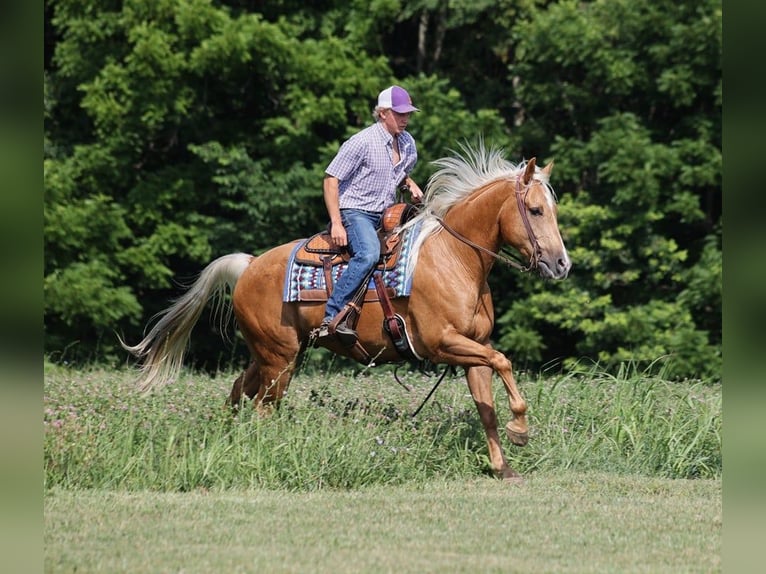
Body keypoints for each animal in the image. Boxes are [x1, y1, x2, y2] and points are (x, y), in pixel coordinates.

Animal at [122, 143, 571, 481]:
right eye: (535, 210)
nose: (561, 264)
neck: (455, 258)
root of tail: (248, 266)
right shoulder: (442, 344)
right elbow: (505, 363)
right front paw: (520, 430)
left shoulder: (473, 349)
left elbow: (487, 407)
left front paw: (502, 465)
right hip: (280, 361)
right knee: (264, 407)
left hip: (271, 355)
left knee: (238, 391)